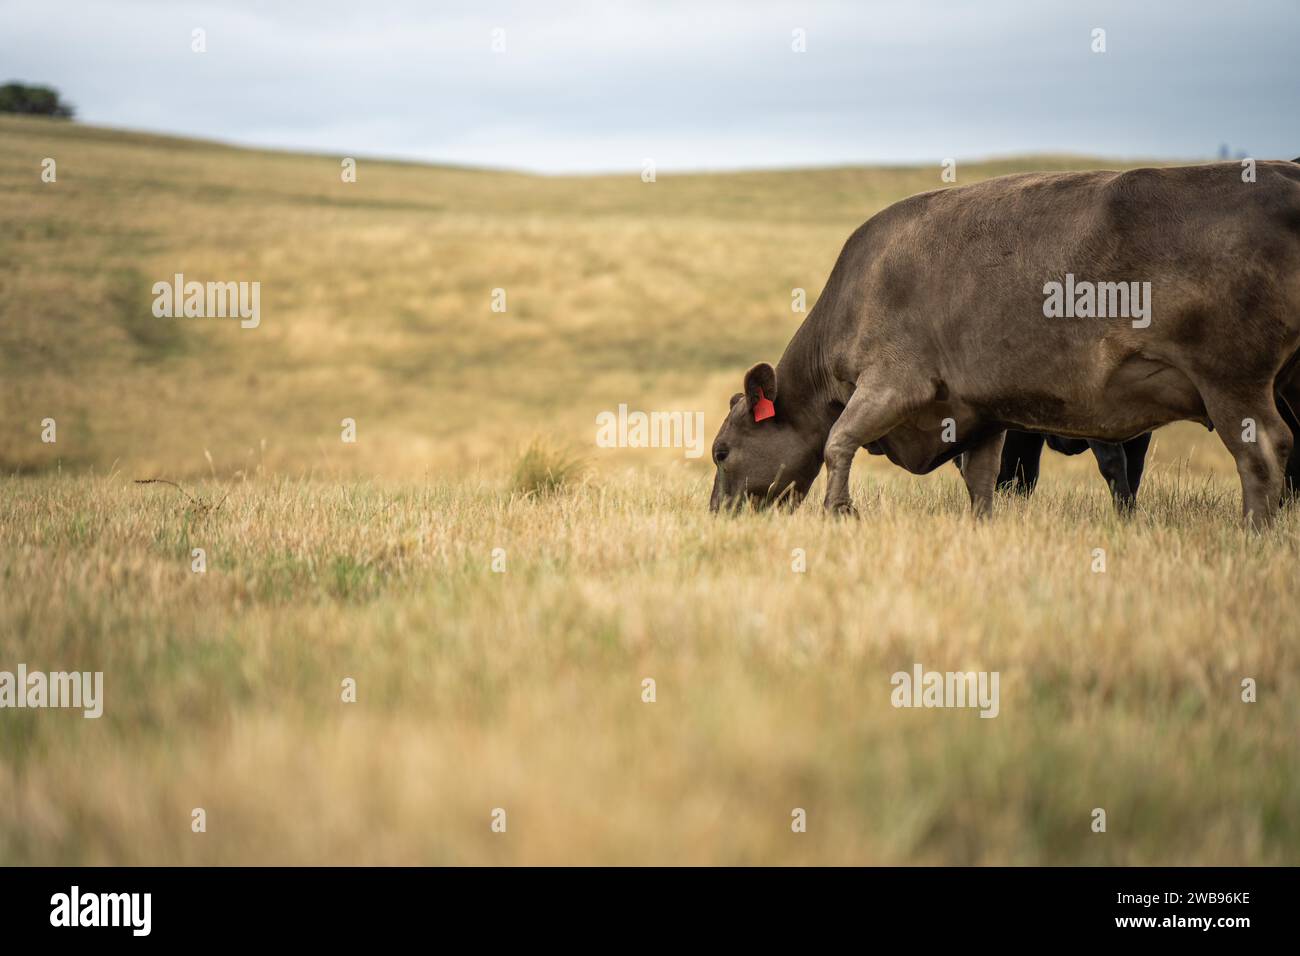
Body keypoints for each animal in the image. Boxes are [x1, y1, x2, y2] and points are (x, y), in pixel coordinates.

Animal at [712, 160, 1300, 528]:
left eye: (720, 451)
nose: (716, 512)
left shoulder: (891, 381)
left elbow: (838, 441)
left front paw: (839, 512)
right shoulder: (979, 412)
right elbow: (983, 479)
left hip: (1232, 377)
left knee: (1264, 452)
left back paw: (1252, 534)